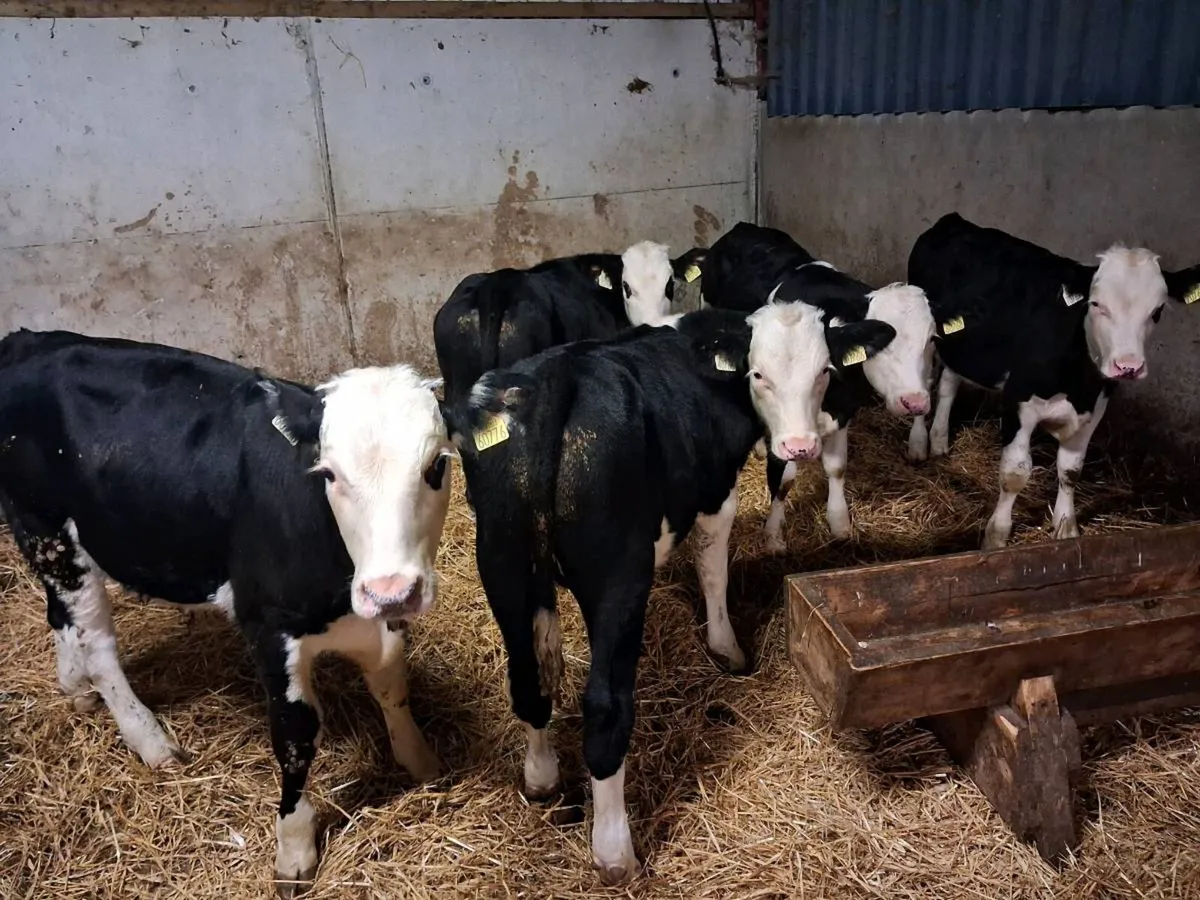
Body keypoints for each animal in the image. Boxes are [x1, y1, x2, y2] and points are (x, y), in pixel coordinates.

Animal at [0, 329, 454, 897]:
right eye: (329, 473)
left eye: (437, 465)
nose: (391, 591)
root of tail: (29, 340)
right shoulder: (268, 626)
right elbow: (295, 734)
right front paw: (294, 850)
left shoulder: (377, 621)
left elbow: (392, 683)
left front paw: (421, 762)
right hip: (47, 529)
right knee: (99, 647)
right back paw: (150, 740)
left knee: (61, 616)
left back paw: (76, 689)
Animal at [443, 303, 896, 884]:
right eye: (758, 374)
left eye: (824, 371)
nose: (800, 445)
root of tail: (556, 383)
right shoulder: (716, 492)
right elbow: (712, 569)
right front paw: (727, 648)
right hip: (617, 577)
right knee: (606, 707)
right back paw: (615, 853)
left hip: (501, 563)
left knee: (527, 678)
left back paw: (541, 777)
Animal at [701, 221, 936, 550]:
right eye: (886, 345)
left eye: (931, 339)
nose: (915, 402)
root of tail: (746, 227)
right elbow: (783, 479)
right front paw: (773, 536)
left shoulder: (843, 411)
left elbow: (836, 467)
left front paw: (839, 523)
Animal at [906, 212, 1200, 550]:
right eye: (1095, 304)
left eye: (1157, 310)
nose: (1128, 366)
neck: (1077, 383)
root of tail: (954, 220)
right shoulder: (1018, 401)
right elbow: (1015, 473)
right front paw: (996, 536)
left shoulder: (1096, 407)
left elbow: (1071, 470)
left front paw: (1066, 528)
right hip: (924, 341)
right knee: (923, 385)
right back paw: (919, 444)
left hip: (963, 350)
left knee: (948, 384)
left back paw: (940, 439)